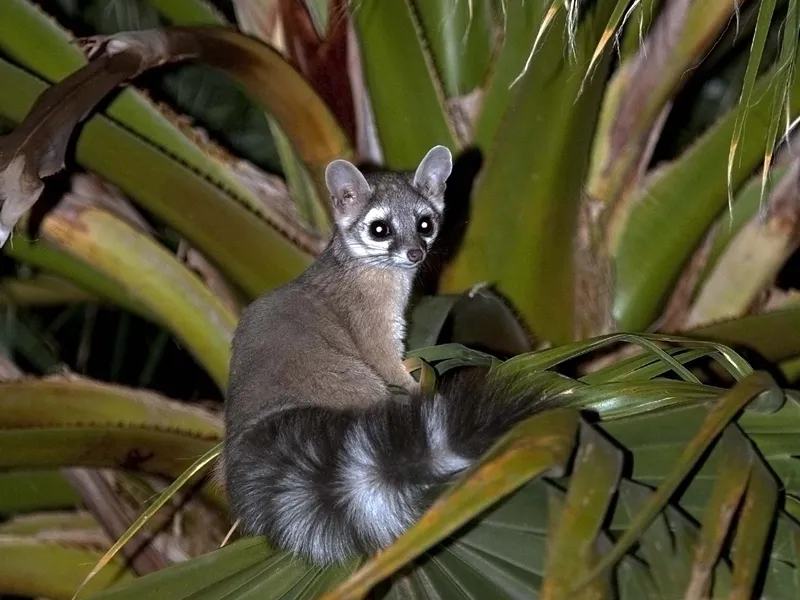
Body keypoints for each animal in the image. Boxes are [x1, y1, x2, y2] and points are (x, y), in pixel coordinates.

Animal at [222, 144, 540, 564]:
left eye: (425, 224)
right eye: (379, 229)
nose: (415, 253)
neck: (372, 265)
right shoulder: (369, 317)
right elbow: (386, 358)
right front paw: (416, 385)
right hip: (343, 380)